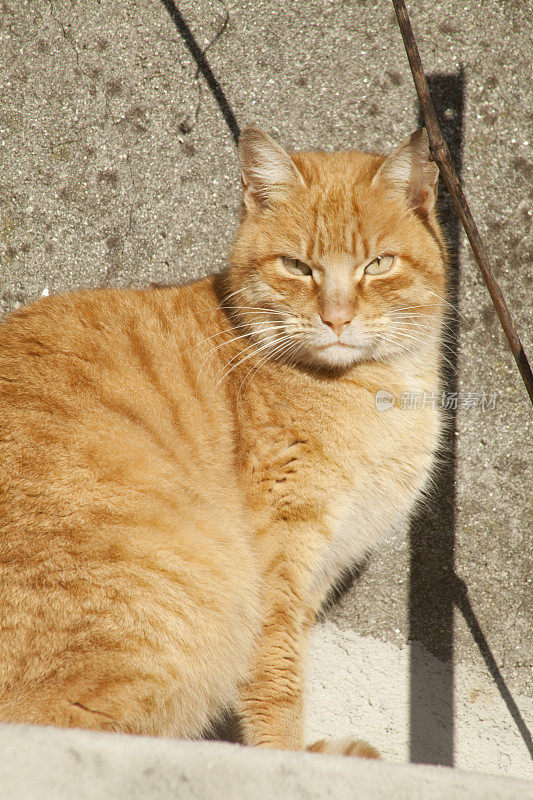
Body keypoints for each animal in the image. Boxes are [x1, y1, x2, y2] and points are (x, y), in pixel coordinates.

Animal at [0, 125, 444, 756]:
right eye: (297, 267)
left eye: (378, 264)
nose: (337, 318)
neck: (381, 391)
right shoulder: (278, 551)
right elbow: (276, 673)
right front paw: (286, 757)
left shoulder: (319, 570)